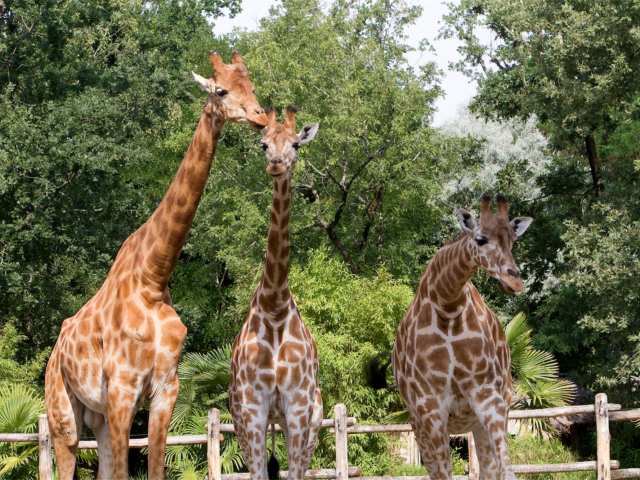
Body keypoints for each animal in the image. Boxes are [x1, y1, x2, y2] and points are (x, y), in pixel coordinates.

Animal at [43, 50, 268, 478]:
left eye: (252, 86)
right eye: (221, 90)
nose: (261, 118)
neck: (153, 277)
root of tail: (54, 351)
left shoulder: (167, 388)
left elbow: (157, 466)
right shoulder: (122, 388)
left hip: (95, 416)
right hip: (62, 409)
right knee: (65, 456)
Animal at [368, 194, 532, 480]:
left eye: (514, 242)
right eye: (480, 239)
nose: (515, 282)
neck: (447, 305)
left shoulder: (488, 396)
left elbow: (506, 471)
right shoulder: (429, 408)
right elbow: (444, 473)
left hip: (482, 417)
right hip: (418, 425)